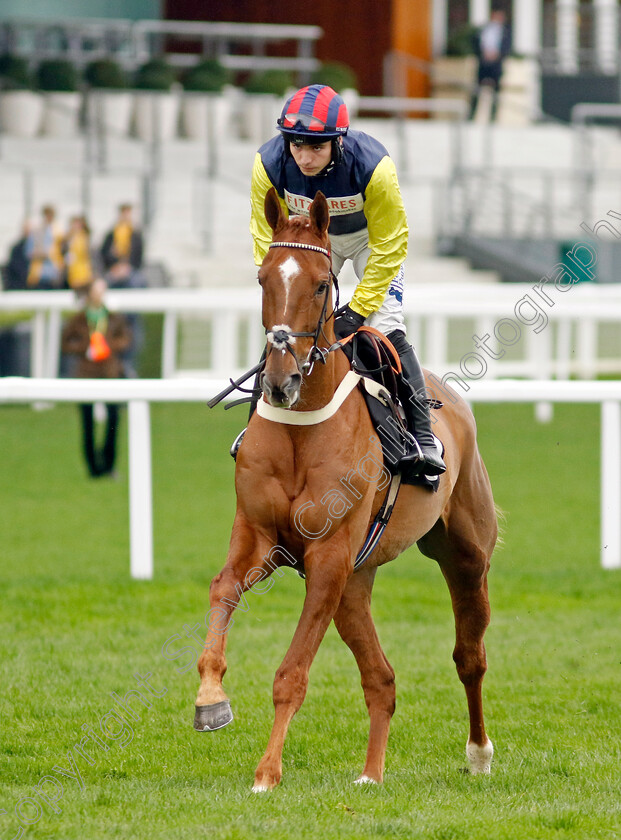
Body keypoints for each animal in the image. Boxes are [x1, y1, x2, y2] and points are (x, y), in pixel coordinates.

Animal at [194, 187, 494, 792]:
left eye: (319, 283)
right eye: (263, 278)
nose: (280, 380)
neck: (300, 429)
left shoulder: (328, 558)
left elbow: (291, 674)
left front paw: (266, 773)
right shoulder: (260, 538)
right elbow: (221, 590)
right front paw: (210, 698)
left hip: (465, 553)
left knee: (468, 656)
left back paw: (477, 753)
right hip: (357, 583)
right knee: (382, 678)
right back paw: (370, 775)